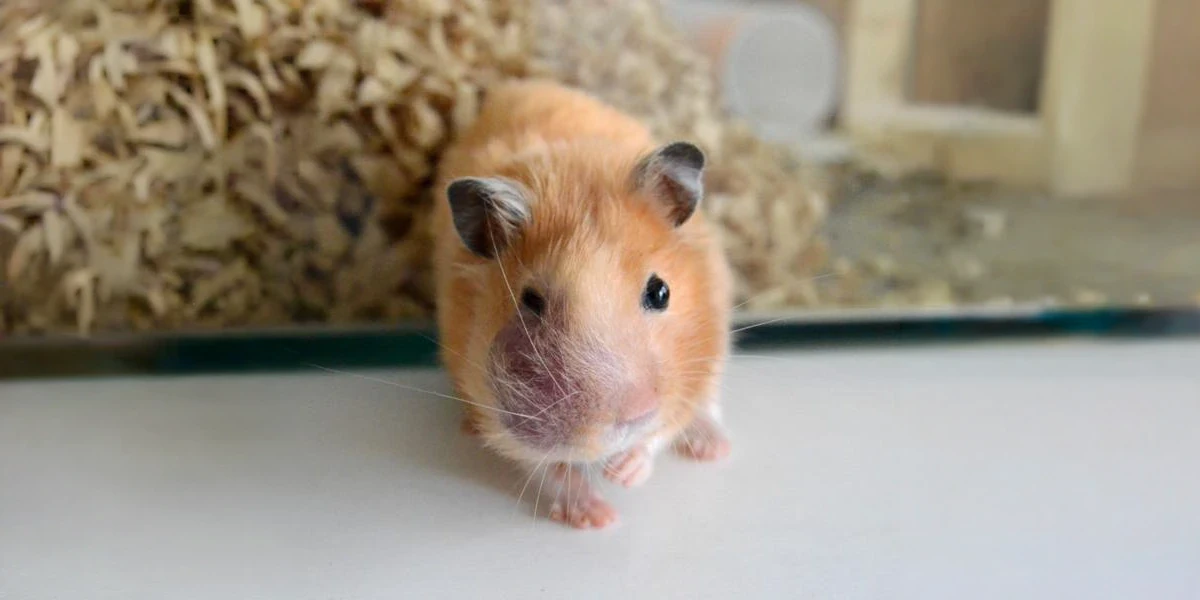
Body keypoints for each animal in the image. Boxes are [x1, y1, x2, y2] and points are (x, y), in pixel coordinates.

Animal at [431, 80, 733, 529]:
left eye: (661, 292)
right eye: (531, 301)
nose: (631, 417)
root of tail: (521, 85)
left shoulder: (698, 363)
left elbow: (660, 432)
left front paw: (622, 473)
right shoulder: (500, 408)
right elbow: (553, 469)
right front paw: (600, 517)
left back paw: (714, 449)